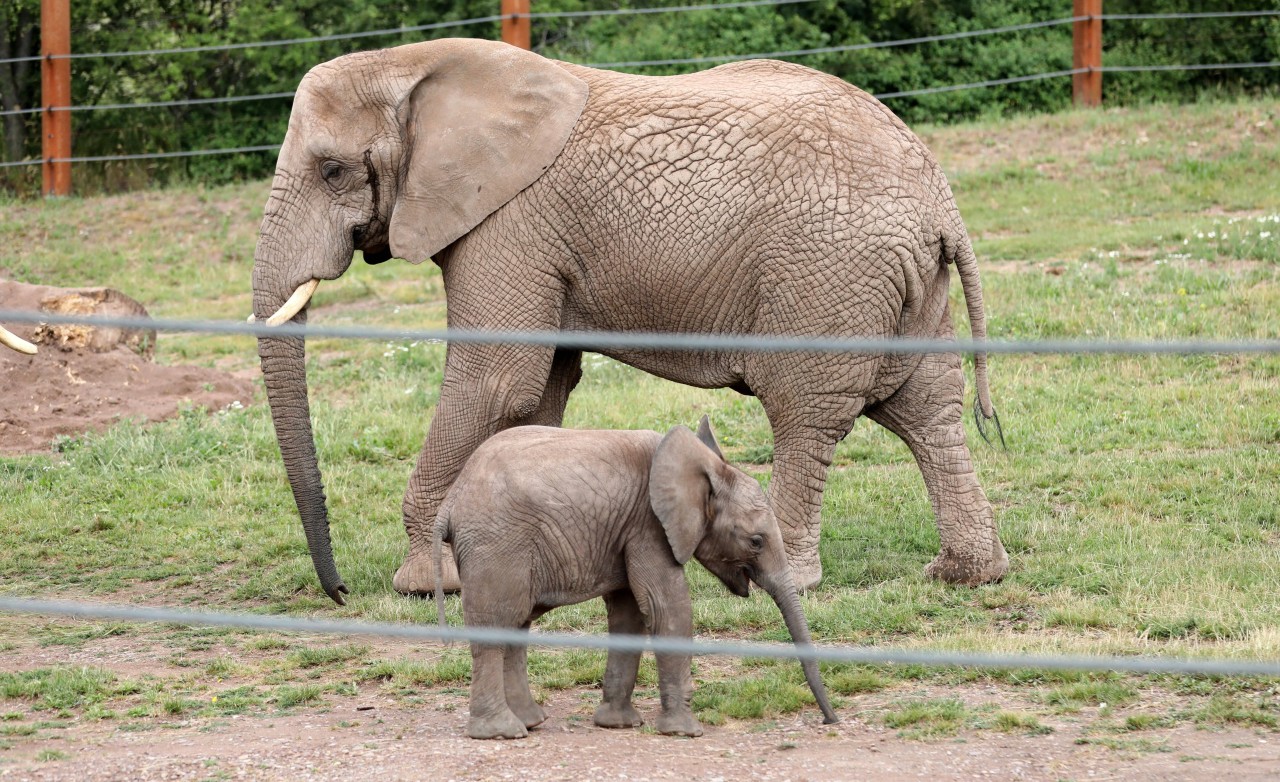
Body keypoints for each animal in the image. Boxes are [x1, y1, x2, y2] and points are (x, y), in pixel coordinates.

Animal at [249, 38, 1008, 606]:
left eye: (333, 170)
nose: (339, 593)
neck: (414, 64)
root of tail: (939, 199)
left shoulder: (510, 220)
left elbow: (497, 380)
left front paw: (424, 584)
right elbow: (543, 387)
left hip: (827, 273)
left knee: (806, 412)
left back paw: (789, 578)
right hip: (906, 287)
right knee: (927, 410)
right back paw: (966, 574)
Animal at [440, 417, 839, 742]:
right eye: (756, 541)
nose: (830, 721)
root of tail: (451, 500)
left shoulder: (626, 529)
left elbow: (629, 613)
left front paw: (618, 725)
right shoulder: (649, 525)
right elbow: (666, 607)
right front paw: (685, 732)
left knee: (515, 625)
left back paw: (531, 722)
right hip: (497, 546)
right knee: (498, 623)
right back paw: (501, 732)